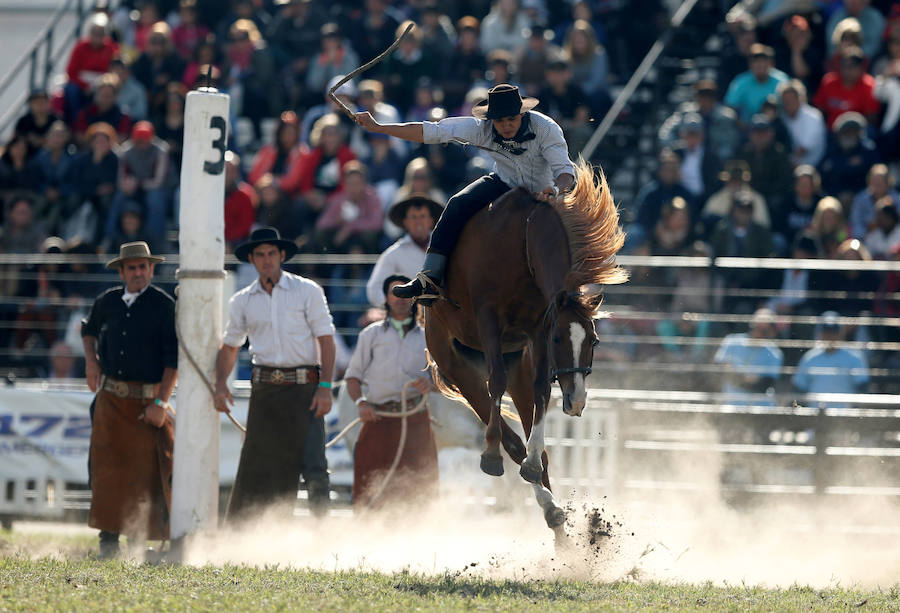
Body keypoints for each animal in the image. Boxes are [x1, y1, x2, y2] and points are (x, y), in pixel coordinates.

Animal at [425, 159, 627, 534]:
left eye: (593, 340)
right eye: (558, 338)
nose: (577, 400)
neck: (523, 241)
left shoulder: (536, 329)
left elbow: (542, 391)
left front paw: (534, 463)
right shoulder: (490, 319)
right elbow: (496, 382)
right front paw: (491, 455)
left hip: (518, 363)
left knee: (532, 434)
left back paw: (555, 515)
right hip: (458, 369)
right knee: (507, 431)